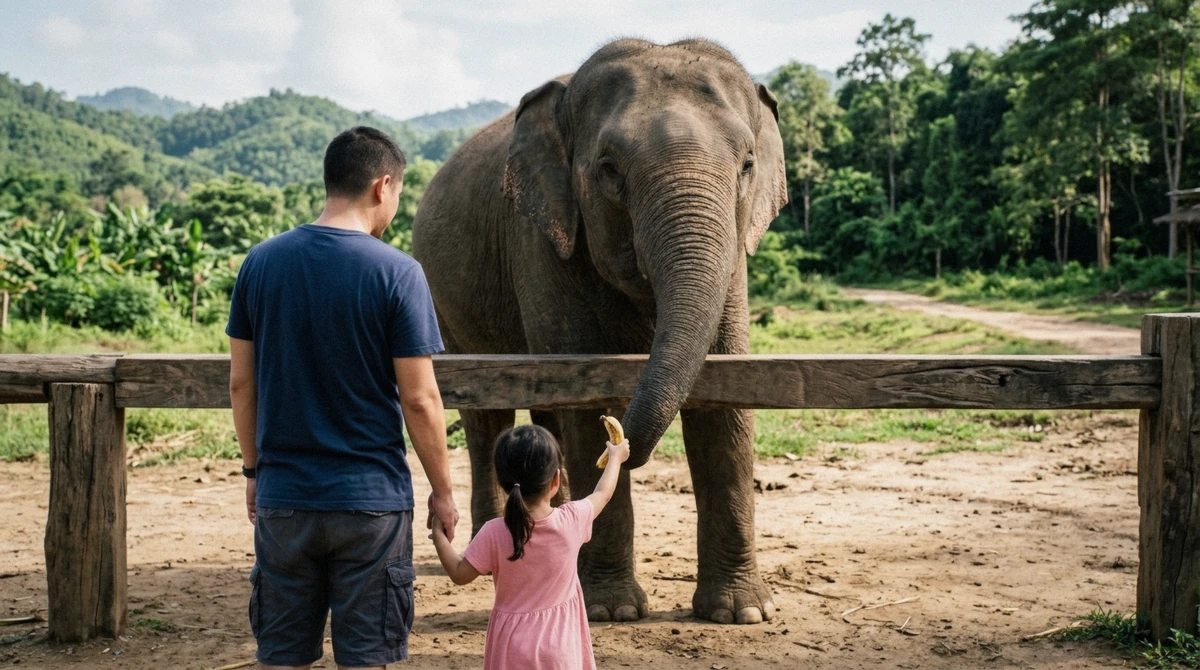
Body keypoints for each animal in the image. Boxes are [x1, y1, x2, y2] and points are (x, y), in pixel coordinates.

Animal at [411, 38, 788, 625]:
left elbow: (726, 393)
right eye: (609, 170)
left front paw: (743, 613)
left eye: (748, 164)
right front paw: (611, 610)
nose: (629, 445)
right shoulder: (540, 239)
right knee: (488, 414)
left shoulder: (735, 259)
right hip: (444, 299)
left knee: (543, 410)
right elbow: (586, 391)